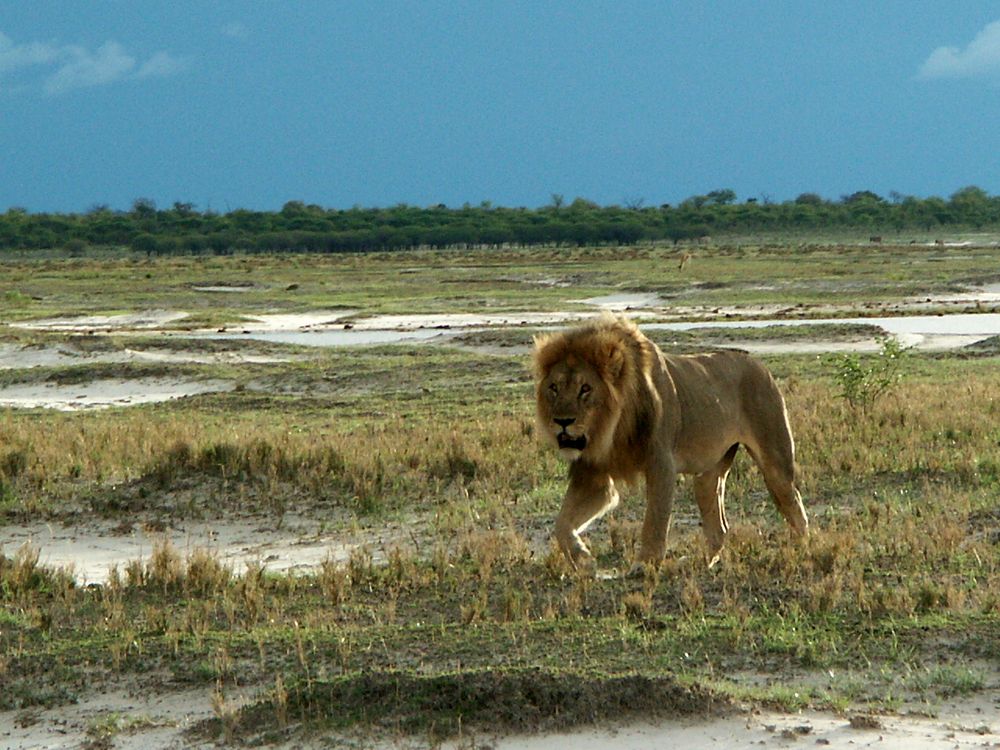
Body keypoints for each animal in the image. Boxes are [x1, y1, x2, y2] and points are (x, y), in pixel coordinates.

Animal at [536, 316, 808, 568]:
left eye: (585, 388)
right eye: (554, 388)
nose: (562, 421)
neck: (611, 430)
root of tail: (760, 364)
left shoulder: (661, 464)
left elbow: (655, 519)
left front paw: (643, 565)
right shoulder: (593, 475)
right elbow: (561, 524)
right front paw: (583, 560)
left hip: (775, 463)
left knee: (795, 508)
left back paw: (800, 551)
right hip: (708, 475)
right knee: (719, 527)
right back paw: (701, 564)